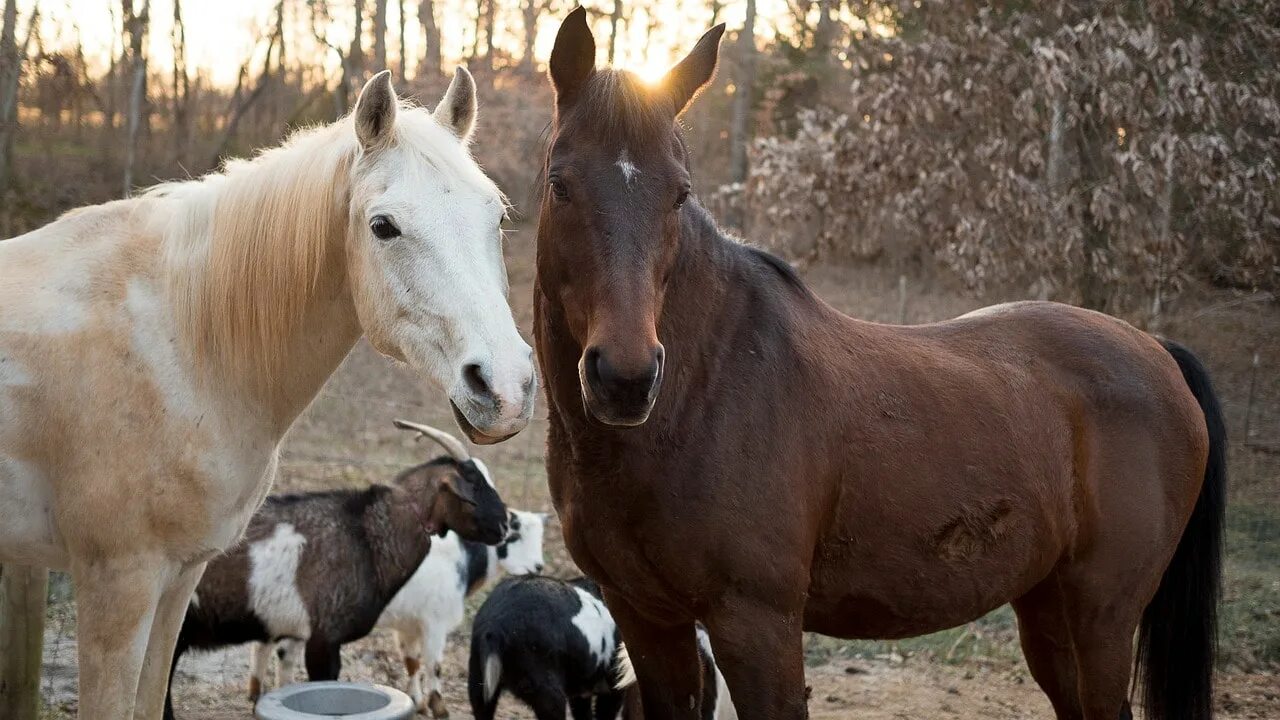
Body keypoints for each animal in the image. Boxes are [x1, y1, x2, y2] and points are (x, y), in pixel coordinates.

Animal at [535, 7, 1223, 717]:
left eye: (679, 194)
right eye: (560, 184)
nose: (625, 379)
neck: (704, 393)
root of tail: (1159, 352)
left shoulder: (757, 625)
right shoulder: (647, 619)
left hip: (1102, 617)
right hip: (1048, 609)